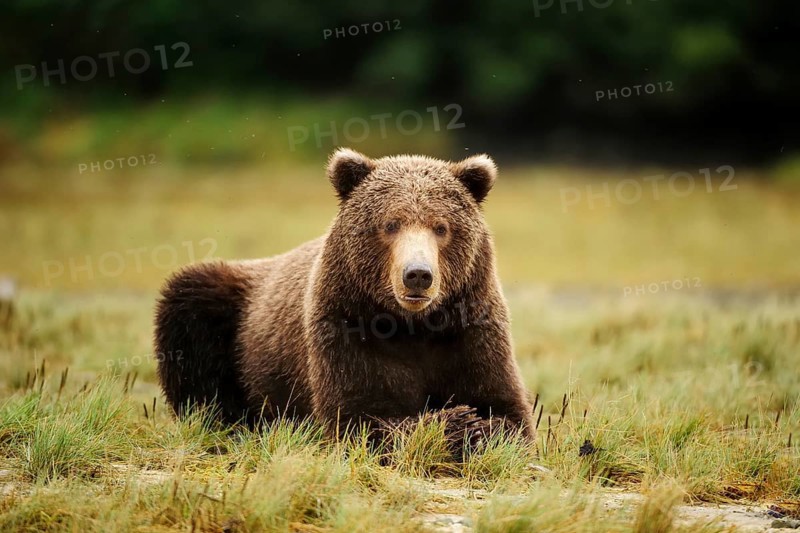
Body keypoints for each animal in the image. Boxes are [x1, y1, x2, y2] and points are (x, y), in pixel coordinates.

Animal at [154, 148, 535, 448]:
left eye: (441, 227)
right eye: (390, 224)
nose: (417, 274)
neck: (411, 324)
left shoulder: (469, 327)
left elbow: (509, 412)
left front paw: (478, 425)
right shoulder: (346, 323)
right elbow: (357, 416)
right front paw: (455, 423)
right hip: (233, 305)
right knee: (189, 311)